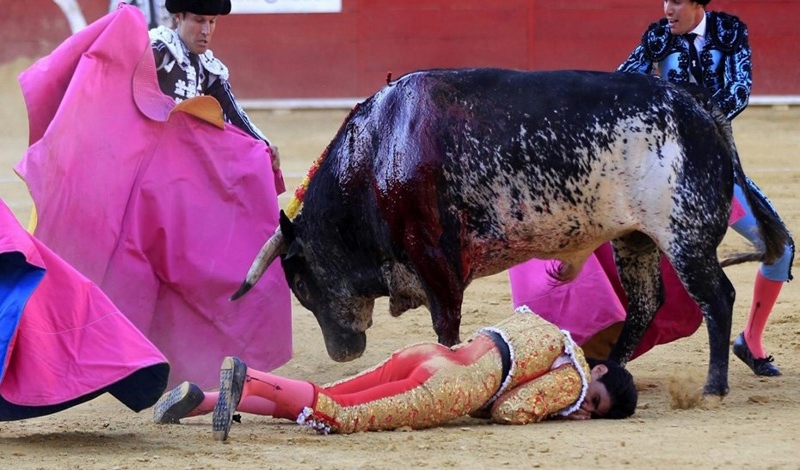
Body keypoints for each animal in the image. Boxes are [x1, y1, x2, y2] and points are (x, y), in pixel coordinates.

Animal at [234, 67, 792, 396]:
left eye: (299, 282)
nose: (342, 353)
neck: (377, 154)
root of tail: (701, 108)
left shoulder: (435, 258)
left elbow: (446, 326)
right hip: (635, 239)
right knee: (645, 305)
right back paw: (608, 369)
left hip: (685, 237)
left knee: (717, 298)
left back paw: (713, 386)